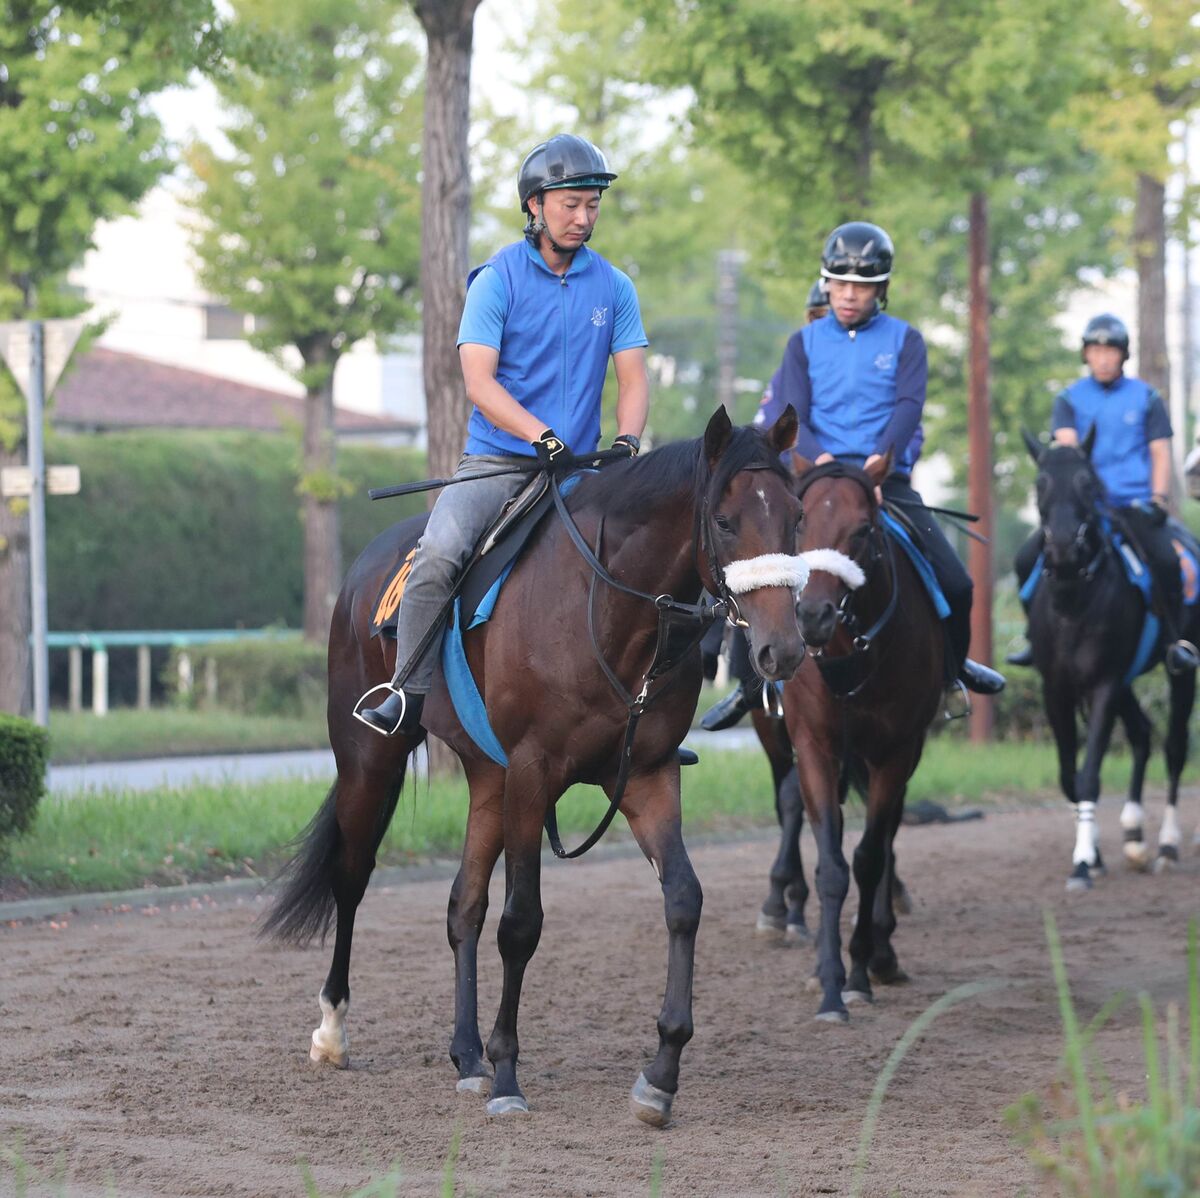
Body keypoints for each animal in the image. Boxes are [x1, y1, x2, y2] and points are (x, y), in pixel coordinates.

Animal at [777, 458, 945, 1022]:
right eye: (800, 522)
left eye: (864, 530)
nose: (812, 615)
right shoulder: (815, 747)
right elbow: (832, 864)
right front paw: (829, 983)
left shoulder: (895, 752)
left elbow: (870, 857)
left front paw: (857, 973)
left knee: (887, 836)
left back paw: (881, 952)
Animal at [1022, 432, 1200, 893]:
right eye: (1040, 483)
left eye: (1088, 482)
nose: (1063, 546)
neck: (1073, 600)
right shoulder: (1056, 689)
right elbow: (1069, 775)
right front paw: (1096, 853)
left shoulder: (1103, 684)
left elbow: (1088, 773)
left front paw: (1083, 864)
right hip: (1124, 683)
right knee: (1141, 733)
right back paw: (1134, 832)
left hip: (1177, 673)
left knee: (1174, 747)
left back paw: (1166, 846)